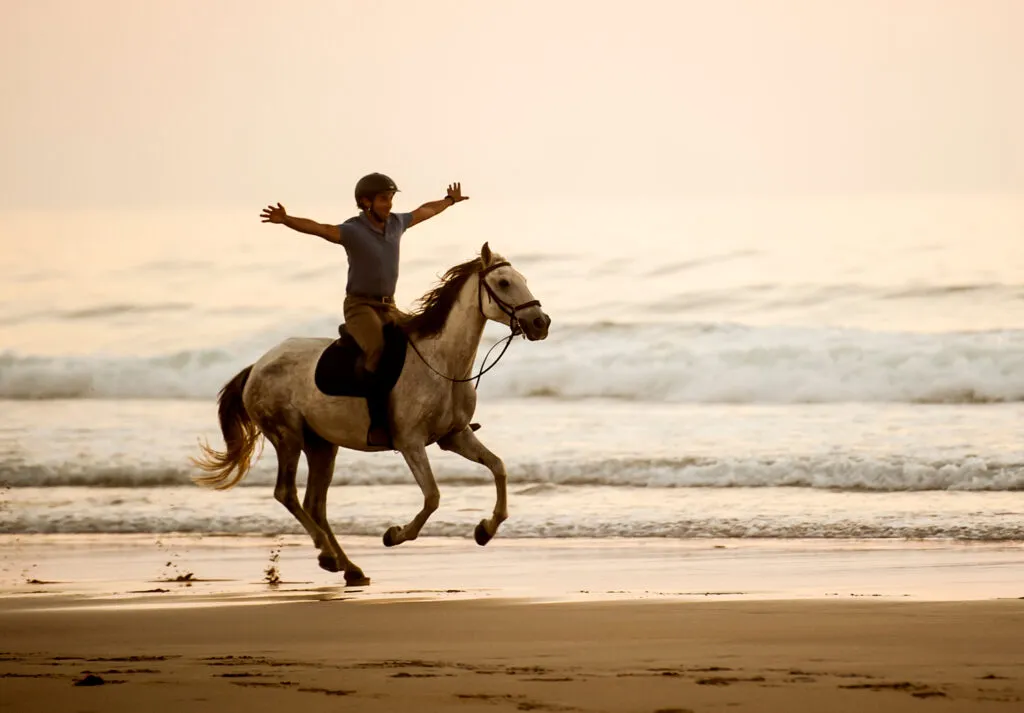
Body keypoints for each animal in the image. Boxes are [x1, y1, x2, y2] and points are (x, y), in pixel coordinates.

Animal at [191, 243, 551, 586]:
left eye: (523, 279)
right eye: (504, 283)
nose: (540, 323)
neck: (442, 363)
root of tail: (256, 367)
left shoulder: (455, 436)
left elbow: (498, 468)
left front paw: (485, 530)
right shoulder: (411, 443)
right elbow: (433, 497)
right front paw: (395, 534)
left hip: (322, 446)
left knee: (314, 504)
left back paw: (348, 567)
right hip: (287, 437)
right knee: (287, 494)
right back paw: (328, 556)